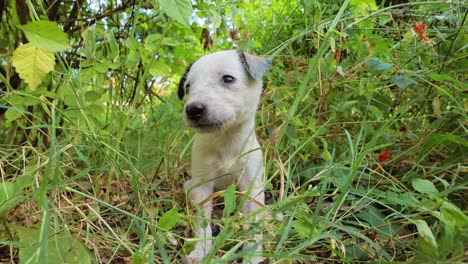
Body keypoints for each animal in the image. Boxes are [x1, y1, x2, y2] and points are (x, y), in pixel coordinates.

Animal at [179, 49, 272, 262]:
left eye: (228, 79)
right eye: (188, 87)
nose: (193, 109)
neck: (225, 141)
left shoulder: (251, 187)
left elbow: (253, 225)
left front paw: (252, 255)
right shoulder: (202, 186)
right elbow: (202, 223)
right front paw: (200, 252)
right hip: (190, 186)